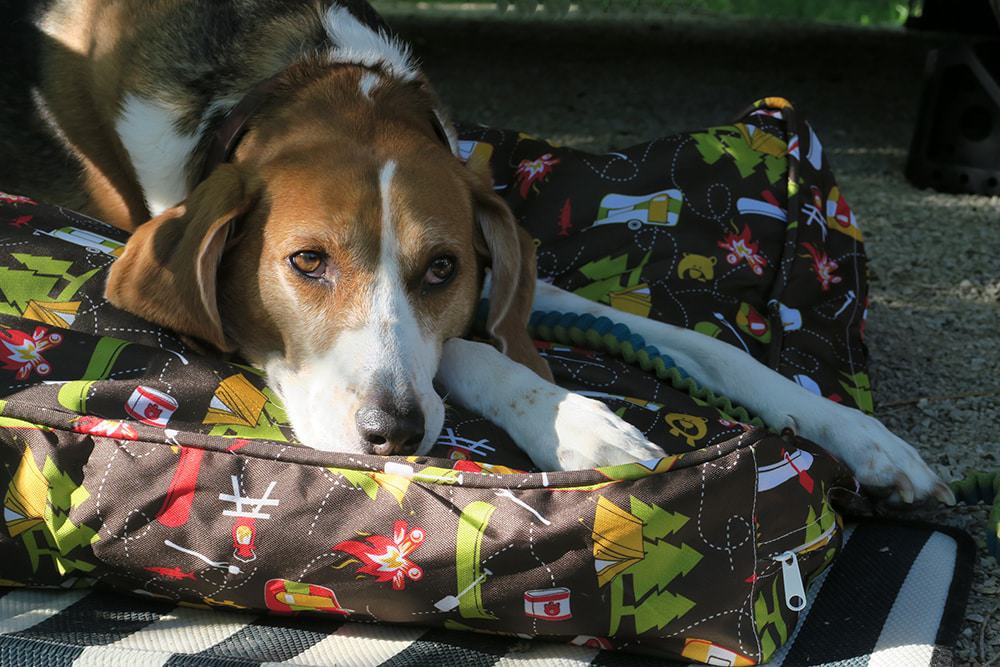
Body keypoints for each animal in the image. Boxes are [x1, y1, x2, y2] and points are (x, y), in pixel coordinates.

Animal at [9, 0, 952, 504]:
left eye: (443, 268)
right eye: (307, 262)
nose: (392, 432)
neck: (317, 73)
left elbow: (707, 347)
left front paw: (865, 437)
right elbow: (469, 353)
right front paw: (582, 425)